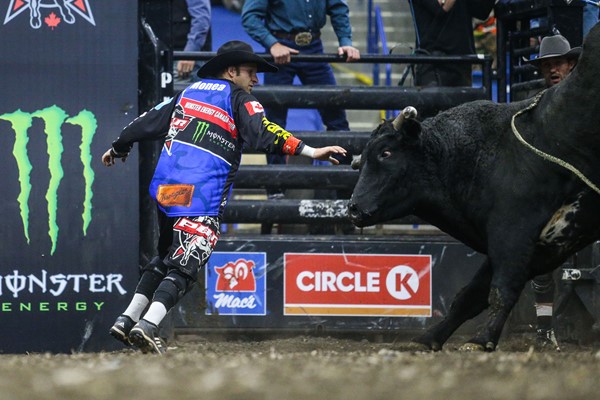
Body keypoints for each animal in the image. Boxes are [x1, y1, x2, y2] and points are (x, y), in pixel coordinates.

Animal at [346, 24, 600, 350]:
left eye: (386, 153)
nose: (353, 208)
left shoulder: (513, 231)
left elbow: (502, 289)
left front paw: (482, 339)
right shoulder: (541, 245)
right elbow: (469, 296)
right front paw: (429, 338)